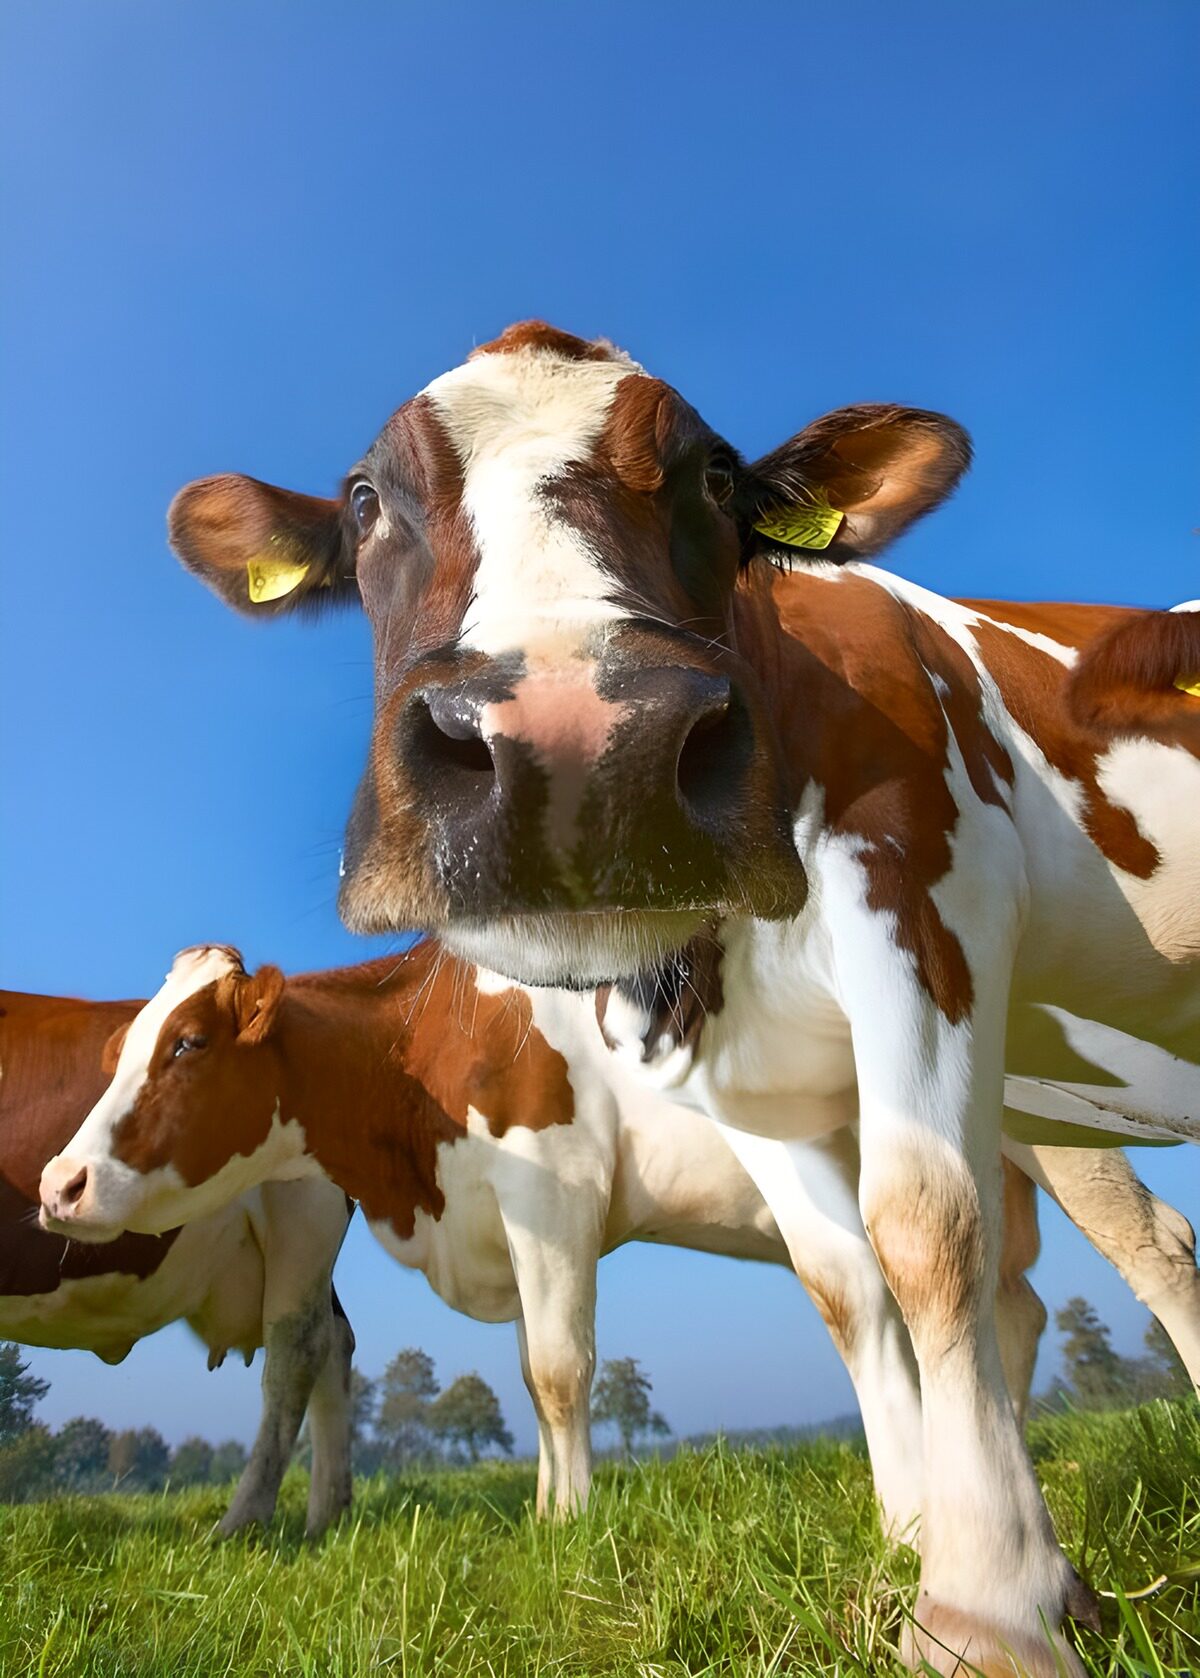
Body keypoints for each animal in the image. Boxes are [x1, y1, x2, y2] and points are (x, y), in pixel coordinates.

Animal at [40, 942, 1199, 1538]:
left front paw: (574, 1526)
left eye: (188, 1044)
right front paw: (552, 1511)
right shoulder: (512, 1221)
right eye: (121, 1046)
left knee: (1154, 1244)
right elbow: (529, 1373)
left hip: (1055, 1135)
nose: (58, 1182)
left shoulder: (549, 1188)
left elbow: (559, 1371)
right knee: (1013, 1303)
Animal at [156, 321, 1200, 1673]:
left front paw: (986, 1609)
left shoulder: (926, 897)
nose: (578, 749)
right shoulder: (744, 1081)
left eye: (715, 476)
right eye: (365, 498)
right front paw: (917, 1537)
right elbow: (846, 1283)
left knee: (1146, 1250)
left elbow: (926, 1227)